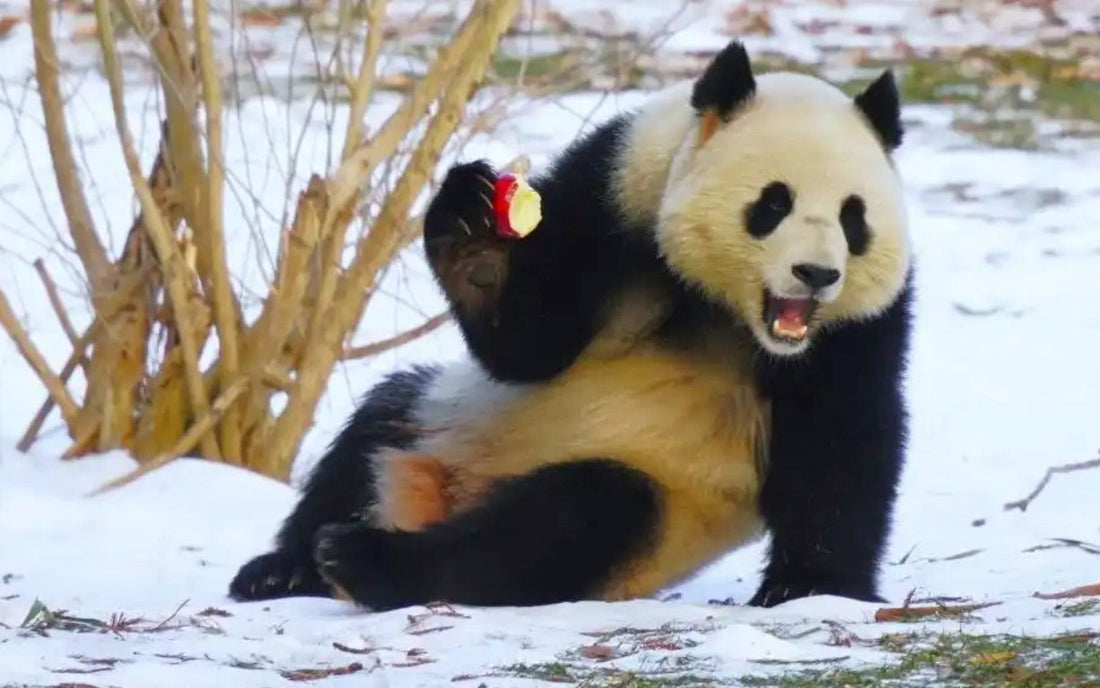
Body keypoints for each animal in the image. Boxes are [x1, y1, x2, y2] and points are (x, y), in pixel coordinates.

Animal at [229, 40, 910, 612]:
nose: (816, 274)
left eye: (853, 218)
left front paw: (813, 586)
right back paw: (287, 567)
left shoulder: (861, 325)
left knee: (568, 520)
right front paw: (476, 243)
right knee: (373, 429)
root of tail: (448, 494)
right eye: (772, 204)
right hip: (445, 413)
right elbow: (529, 345)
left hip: (664, 509)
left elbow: (842, 435)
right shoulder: (616, 191)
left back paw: (368, 561)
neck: (720, 305)